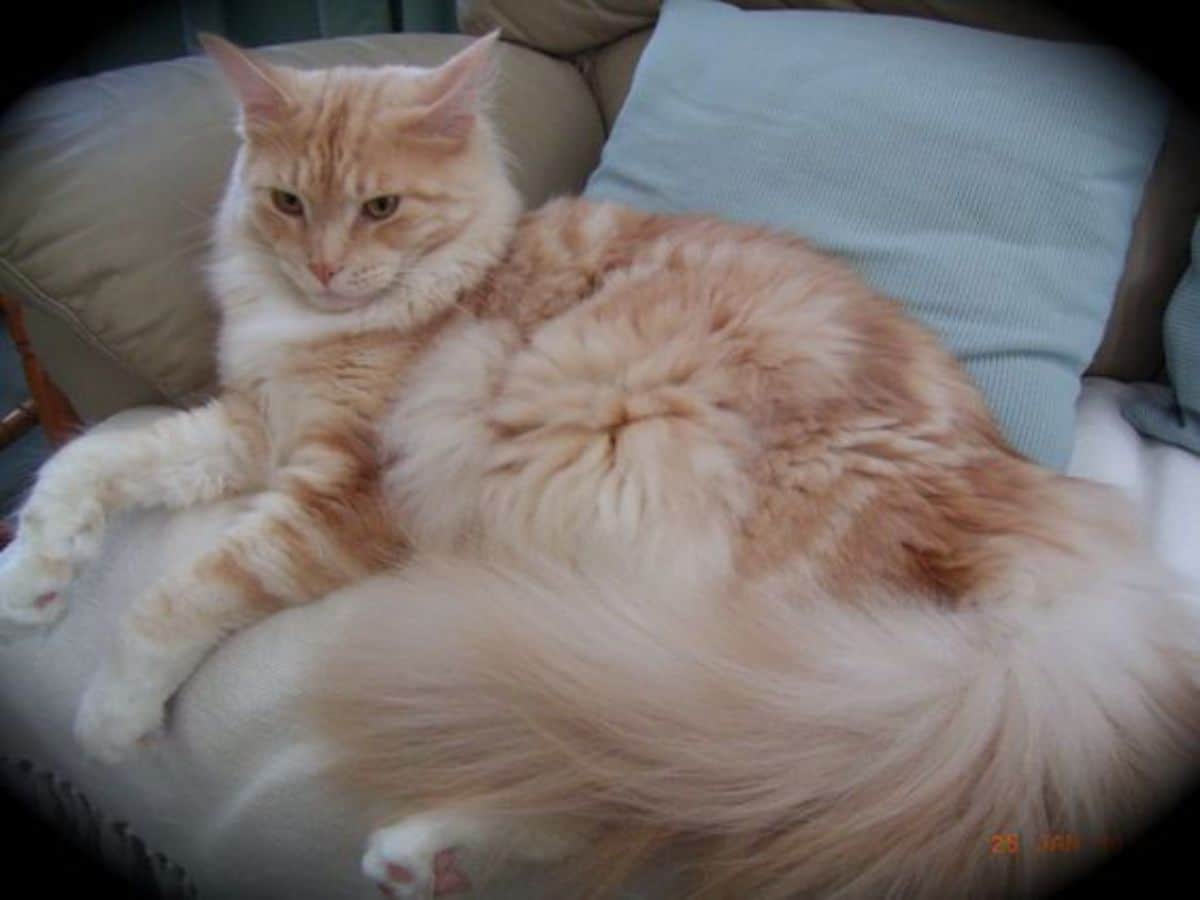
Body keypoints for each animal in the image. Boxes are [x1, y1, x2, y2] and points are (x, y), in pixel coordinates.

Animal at [0, 30, 1195, 900]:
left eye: (382, 207)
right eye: (288, 203)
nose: (328, 269)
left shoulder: (346, 493)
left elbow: (175, 596)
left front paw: (111, 717)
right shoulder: (255, 426)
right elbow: (93, 462)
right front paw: (33, 578)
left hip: (719, 621)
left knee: (674, 778)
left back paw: (428, 846)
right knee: (648, 769)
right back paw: (433, 854)